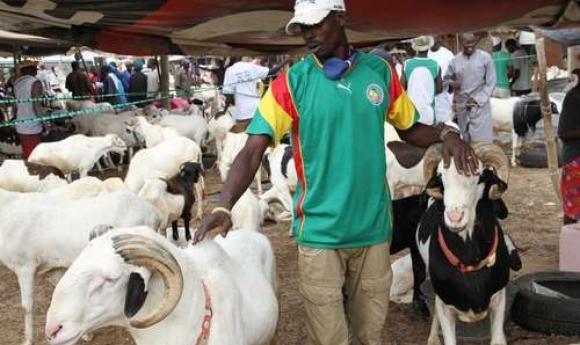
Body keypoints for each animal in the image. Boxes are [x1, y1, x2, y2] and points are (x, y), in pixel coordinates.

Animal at [0, 189, 161, 342]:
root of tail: (154, 213)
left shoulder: (24, 266)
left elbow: (26, 307)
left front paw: (28, 340)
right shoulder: (53, 268)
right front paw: (84, 334)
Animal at [416, 143, 520, 344]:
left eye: (479, 177)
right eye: (440, 178)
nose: (454, 217)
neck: (469, 257)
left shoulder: (499, 298)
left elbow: (497, 339)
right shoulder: (445, 306)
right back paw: (432, 338)